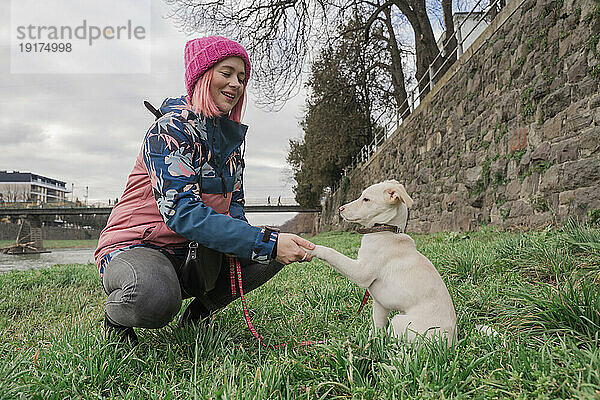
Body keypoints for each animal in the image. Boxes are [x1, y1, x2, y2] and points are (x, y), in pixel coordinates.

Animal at [308, 180, 458, 346]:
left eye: (366, 199)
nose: (340, 209)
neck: (385, 231)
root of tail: (450, 343)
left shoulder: (361, 272)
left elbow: (332, 253)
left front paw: (312, 248)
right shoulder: (380, 304)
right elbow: (376, 327)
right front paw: (370, 342)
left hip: (399, 321)